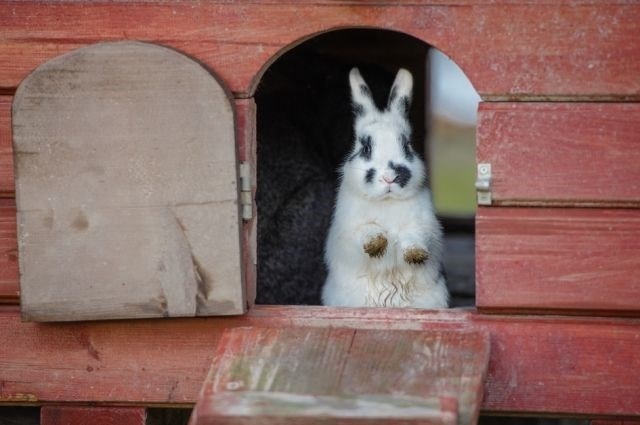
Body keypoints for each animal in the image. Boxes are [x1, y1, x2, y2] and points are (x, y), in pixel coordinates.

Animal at [322, 67, 448, 308]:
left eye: (407, 145)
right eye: (366, 147)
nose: (390, 177)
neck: (386, 201)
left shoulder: (425, 227)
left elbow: (415, 236)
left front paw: (415, 254)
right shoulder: (348, 232)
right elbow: (366, 231)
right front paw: (377, 244)